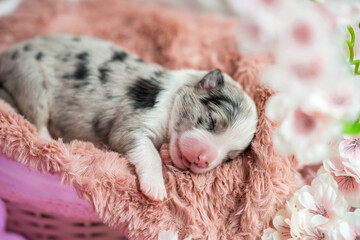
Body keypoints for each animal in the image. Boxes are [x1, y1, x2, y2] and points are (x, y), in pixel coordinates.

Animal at [0, 34, 258, 201]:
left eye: (229, 158)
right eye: (212, 121)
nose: (204, 161)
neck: (172, 96)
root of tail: (6, 55)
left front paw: (166, 153)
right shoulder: (133, 126)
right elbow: (149, 153)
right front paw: (155, 188)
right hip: (31, 80)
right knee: (36, 122)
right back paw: (51, 142)